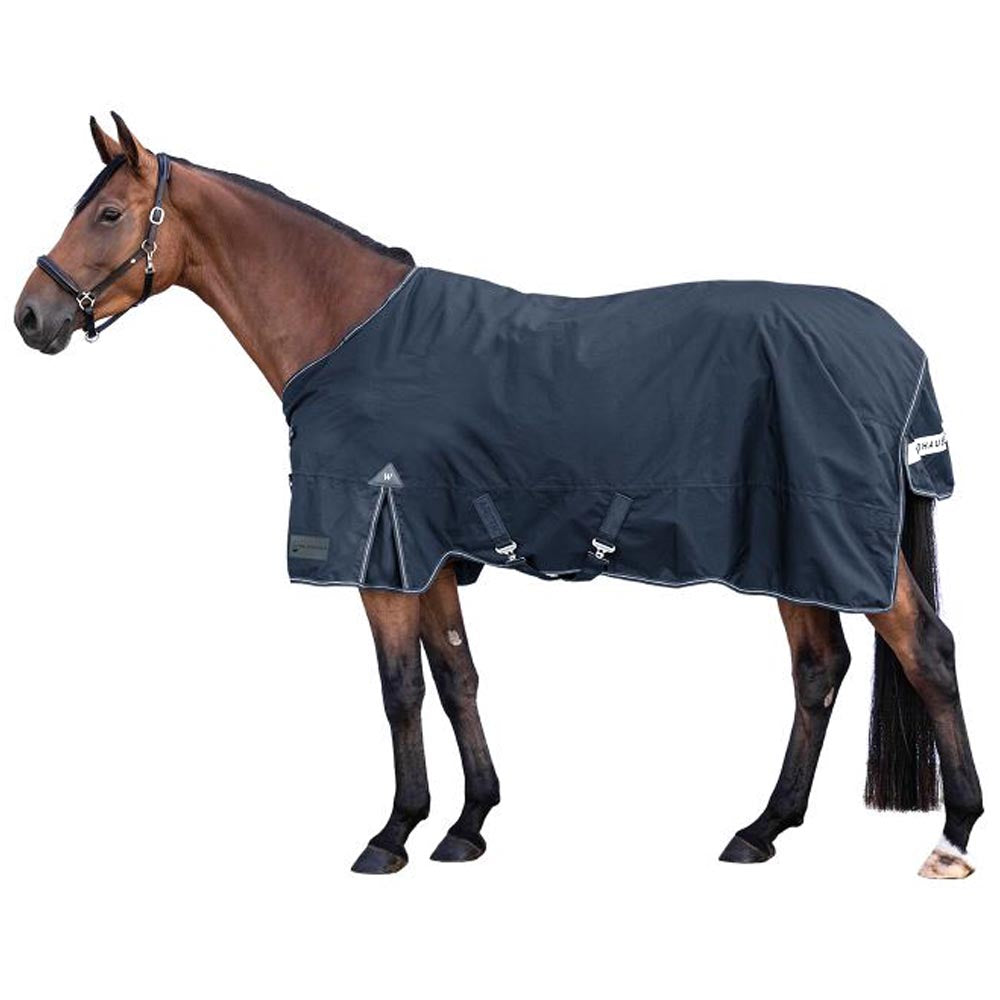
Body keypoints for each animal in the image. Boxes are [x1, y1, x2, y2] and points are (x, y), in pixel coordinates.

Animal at [14, 114, 983, 878]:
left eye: (107, 213)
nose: (30, 318)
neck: (349, 330)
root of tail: (896, 344)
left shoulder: (382, 553)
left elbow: (400, 688)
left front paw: (393, 834)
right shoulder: (431, 552)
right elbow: (457, 676)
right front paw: (468, 824)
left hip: (831, 541)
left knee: (925, 650)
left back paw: (954, 835)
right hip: (789, 546)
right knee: (820, 669)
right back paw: (762, 829)